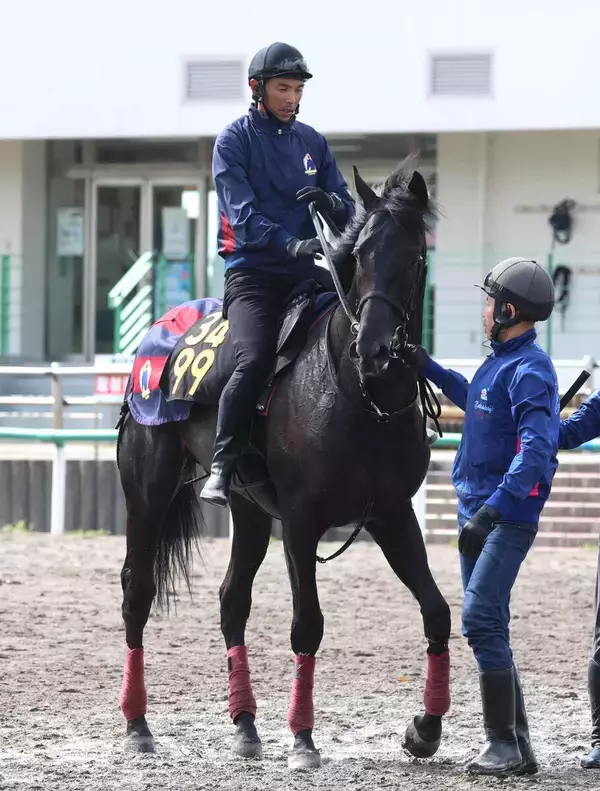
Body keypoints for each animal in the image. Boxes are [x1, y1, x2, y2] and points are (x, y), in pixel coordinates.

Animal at [116, 158, 452, 769]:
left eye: (416, 257)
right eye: (359, 255)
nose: (376, 349)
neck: (357, 393)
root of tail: (157, 336)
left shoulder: (393, 515)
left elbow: (436, 611)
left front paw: (425, 728)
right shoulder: (299, 522)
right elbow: (307, 626)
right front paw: (302, 738)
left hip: (247, 510)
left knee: (232, 601)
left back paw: (246, 725)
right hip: (147, 493)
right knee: (138, 592)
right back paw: (138, 724)